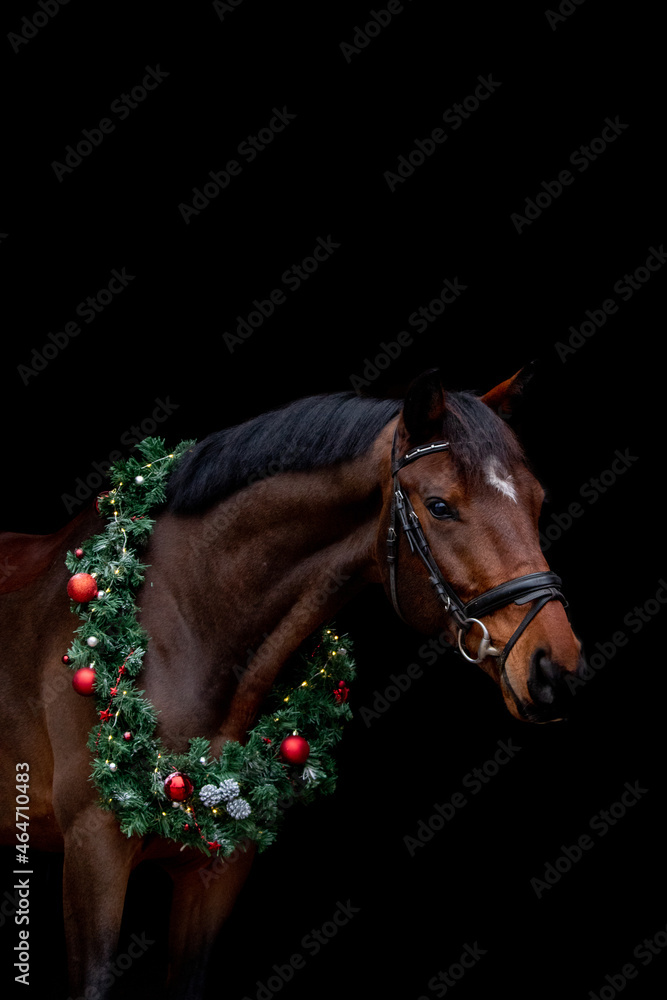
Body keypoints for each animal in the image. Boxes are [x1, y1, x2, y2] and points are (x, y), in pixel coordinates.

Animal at [0, 368, 584, 1000]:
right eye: (439, 506)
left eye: (538, 500)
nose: (556, 670)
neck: (175, 621)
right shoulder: (93, 853)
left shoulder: (219, 868)